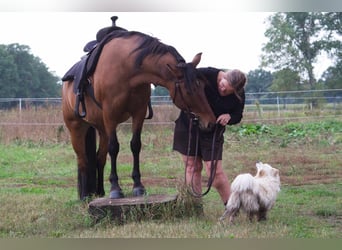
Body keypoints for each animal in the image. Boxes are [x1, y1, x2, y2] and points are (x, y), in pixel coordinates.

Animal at [62, 30, 215, 200]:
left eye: (202, 85)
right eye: (189, 91)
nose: (210, 122)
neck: (126, 69)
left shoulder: (139, 113)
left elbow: (135, 145)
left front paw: (138, 186)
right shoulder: (110, 115)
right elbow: (114, 148)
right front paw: (115, 188)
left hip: (102, 129)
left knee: (99, 159)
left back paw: (100, 192)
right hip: (76, 127)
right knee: (82, 160)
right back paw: (84, 196)